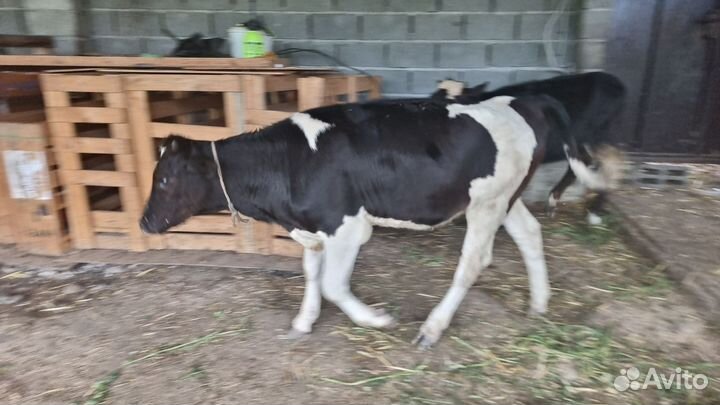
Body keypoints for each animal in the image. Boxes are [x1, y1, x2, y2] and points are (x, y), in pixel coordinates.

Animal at [139, 94, 619, 348]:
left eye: (164, 178)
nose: (143, 223)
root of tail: (520, 98)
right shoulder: (315, 227)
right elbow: (311, 274)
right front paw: (303, 322)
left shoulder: (348, 225)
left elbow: (334, 285)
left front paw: (375, 320)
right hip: (504, 198)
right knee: (529, 233)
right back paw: (539, 303)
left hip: (487, 204)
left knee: (473, 262)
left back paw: (432, 328)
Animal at [432, 73, 626, 223]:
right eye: (435, 97)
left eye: (460, 100)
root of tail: (614, 81)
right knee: (581, 166)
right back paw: (554, 200)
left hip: (603, 138)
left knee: (609, 167)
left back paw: (594, 212)